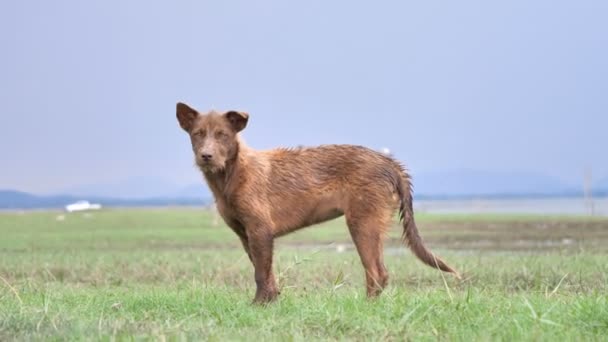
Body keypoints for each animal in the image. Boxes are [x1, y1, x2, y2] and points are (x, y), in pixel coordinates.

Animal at [175, 103, 456, 304]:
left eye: (222, 135)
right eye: (198, 134)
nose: (206, 156)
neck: (232, 175)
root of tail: (390, 163)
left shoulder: (260, 229)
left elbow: (261, 273)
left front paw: (259, 305)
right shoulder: (245, 234)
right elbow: (265, 271)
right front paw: (272, 301)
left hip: (363, 221)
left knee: (377, 273)